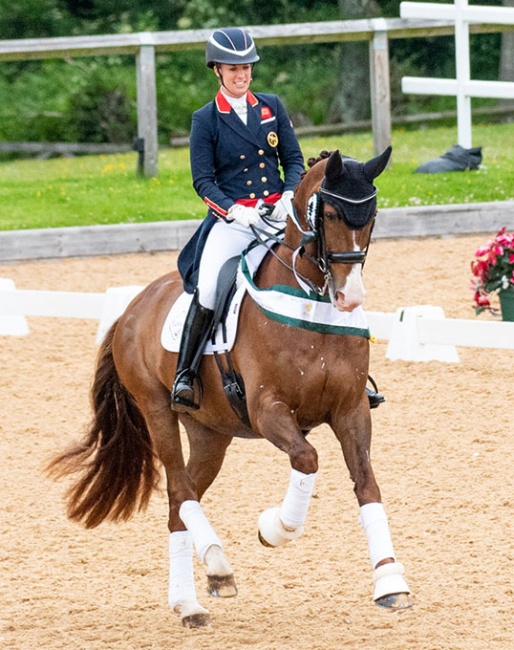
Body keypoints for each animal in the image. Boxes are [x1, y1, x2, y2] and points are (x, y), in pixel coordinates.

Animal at [47, 147, 408, 628]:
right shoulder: (268, 409)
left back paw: (193, 595)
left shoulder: (351, 409)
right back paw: (211, 573)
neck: (310, 300)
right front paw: (275, 528)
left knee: (179, 505)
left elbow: (367, 484)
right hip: (157, 410)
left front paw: (390, 582)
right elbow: (307, 459)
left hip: (210, 433)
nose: (349, 298)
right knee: (179, 491)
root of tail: (132, 308)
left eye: (372, 215)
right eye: (330, 213)